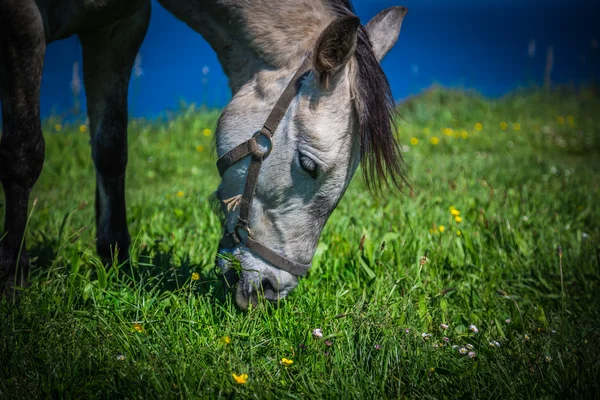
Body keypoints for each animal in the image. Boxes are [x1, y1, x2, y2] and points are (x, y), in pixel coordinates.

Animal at [0, 0, 408, 310]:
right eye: (307, 165)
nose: (271, 290)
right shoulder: (22, 23)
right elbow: (23, 154)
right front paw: (13, 278)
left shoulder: (119, 26)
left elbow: (111, 149)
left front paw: (115, 262)